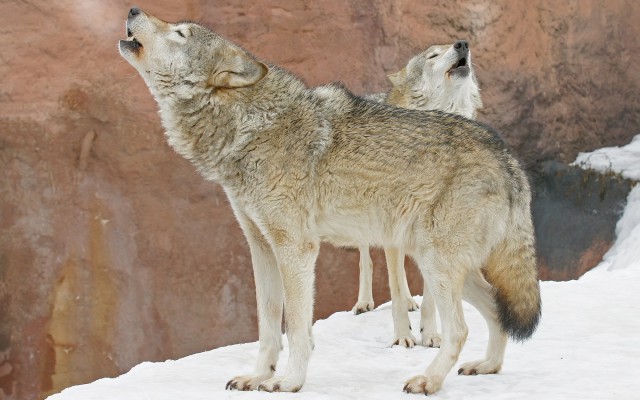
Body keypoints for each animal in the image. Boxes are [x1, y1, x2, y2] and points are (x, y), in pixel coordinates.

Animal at [356, 40, 484, 350]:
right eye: (432, 56)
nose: (462, 43)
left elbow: (430, 297)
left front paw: (432, 334)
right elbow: (392, 285)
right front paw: (403, 335)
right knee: (367, 260)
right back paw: (364, 302)